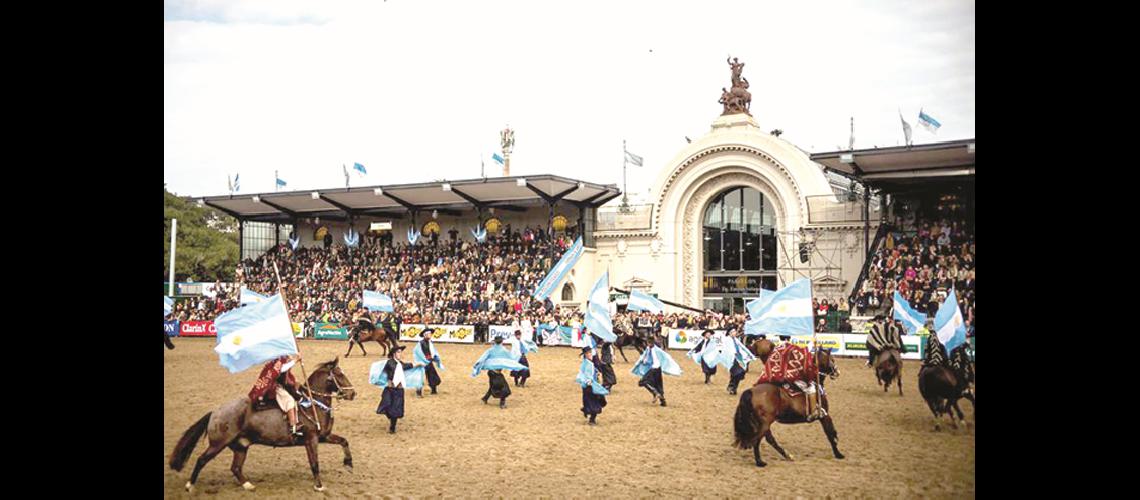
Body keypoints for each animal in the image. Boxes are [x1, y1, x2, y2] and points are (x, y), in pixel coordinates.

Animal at [167, 355, 355, 494]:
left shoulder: (323, 436)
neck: (312, 404)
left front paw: (348, 464)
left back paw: (248, 485)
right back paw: (190, 485)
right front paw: (319, 486)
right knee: (201, 460)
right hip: (218, 444)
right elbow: (314, 463)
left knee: (235, 468)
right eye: (339, 374)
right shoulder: (311, 440)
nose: (353, 393)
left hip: (241, 446)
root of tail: (215, 412)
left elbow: (344, 441)